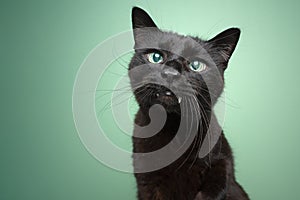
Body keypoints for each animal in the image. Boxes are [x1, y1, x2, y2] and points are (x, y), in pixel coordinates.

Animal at [130, 6, 250, 200]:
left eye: (196, 65)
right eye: (155, 57)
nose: (171, 73)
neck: (173, 131)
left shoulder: (223, 164)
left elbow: (215, 187)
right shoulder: (146, 182)